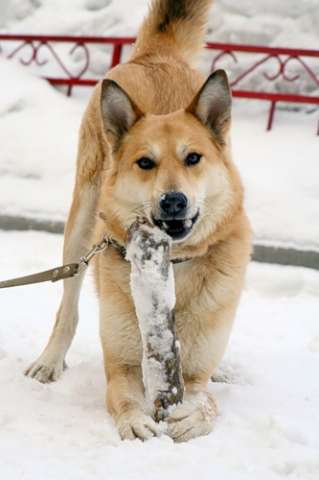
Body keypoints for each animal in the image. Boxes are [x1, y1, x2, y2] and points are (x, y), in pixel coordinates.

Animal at [25, 0, 252, 442]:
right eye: (145, 163)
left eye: (193, 158)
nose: (173, 201)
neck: (174, 265)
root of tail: (158, 56)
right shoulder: (122, 367)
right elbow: (125, 396)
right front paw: (136, 423)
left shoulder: (195, 373)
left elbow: (206, 401)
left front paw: (191, 415)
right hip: (81, 226)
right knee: (68, 305)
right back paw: (50, 359)